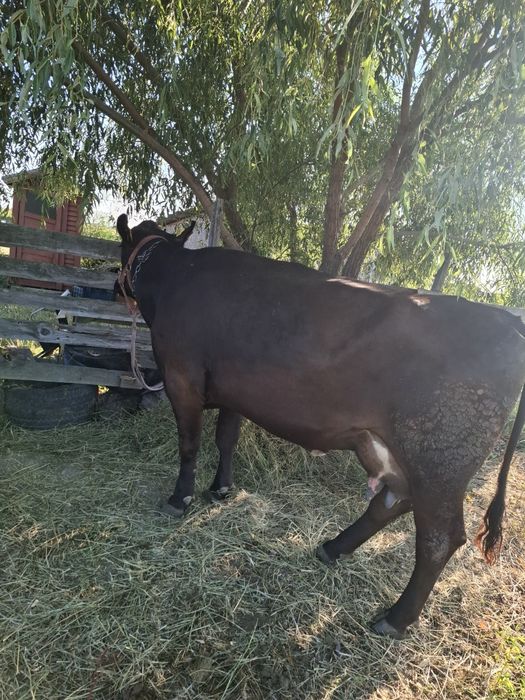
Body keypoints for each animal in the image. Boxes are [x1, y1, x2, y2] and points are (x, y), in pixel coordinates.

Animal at [116, 214, 525, 639]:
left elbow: (190, 443)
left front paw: (179, 498)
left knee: (440, 537)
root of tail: (507, 321)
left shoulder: (182, 377)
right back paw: (333, 548)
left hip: (440, 455)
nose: (117, 288)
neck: (175, 275)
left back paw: (394, 618)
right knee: (393, 501)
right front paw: (221, 489)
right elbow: (226, 438)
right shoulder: (232, 390)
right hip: (396, 449)